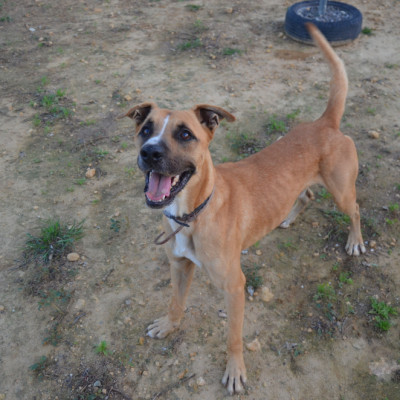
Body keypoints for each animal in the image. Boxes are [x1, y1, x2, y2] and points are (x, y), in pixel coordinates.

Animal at [120, 24, 366, 394]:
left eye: (185, 134)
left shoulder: (235, 287)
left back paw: (355, 241)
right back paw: (288, 218)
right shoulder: (179, 266)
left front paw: (235, 371)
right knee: (306, 196)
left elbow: (233, 337)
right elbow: (176, 301)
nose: (149, 152)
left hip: (341, 191)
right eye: (145, 129)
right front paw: (168, 324)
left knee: (355, 211)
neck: (192, 214)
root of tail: (325, 122)